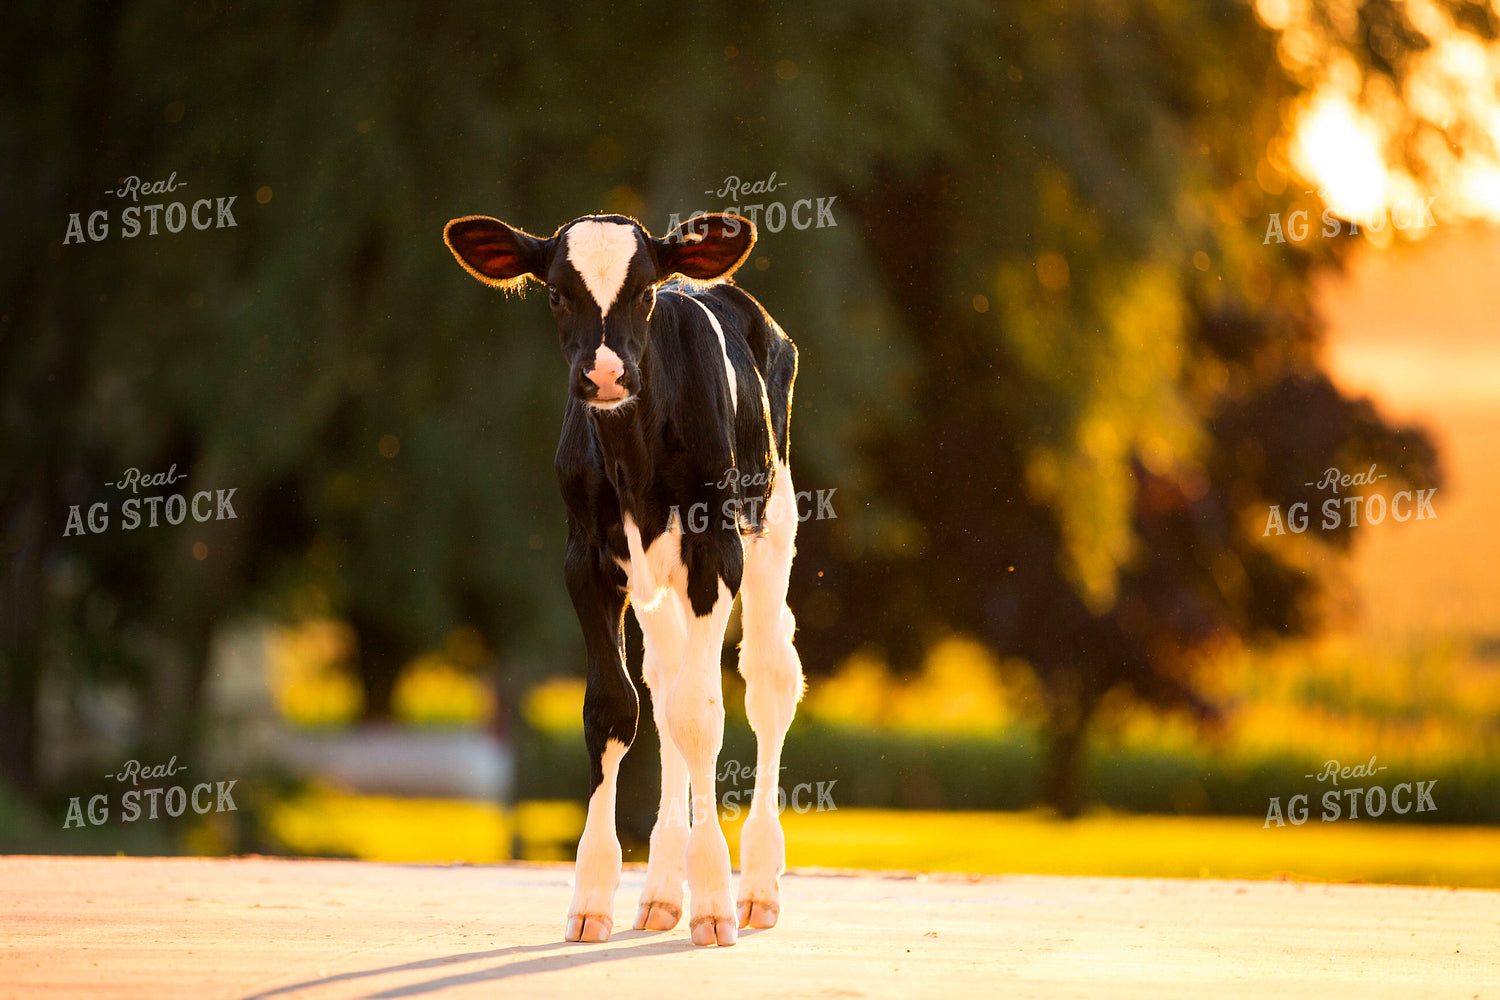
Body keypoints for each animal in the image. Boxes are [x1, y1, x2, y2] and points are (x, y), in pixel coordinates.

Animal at [444, 211, 805, 947]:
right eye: (557, 293)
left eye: (643, 293)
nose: (606, 375)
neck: (633, 453)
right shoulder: (585, 559)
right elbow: (615, 710)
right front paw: (592, 897)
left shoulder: (715, 549)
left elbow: (701, 713)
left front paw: (714, 902)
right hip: (654, 586)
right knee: (663, 687)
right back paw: (663, 890)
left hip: (771, 524)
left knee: (767, 678)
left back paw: (756, 885)